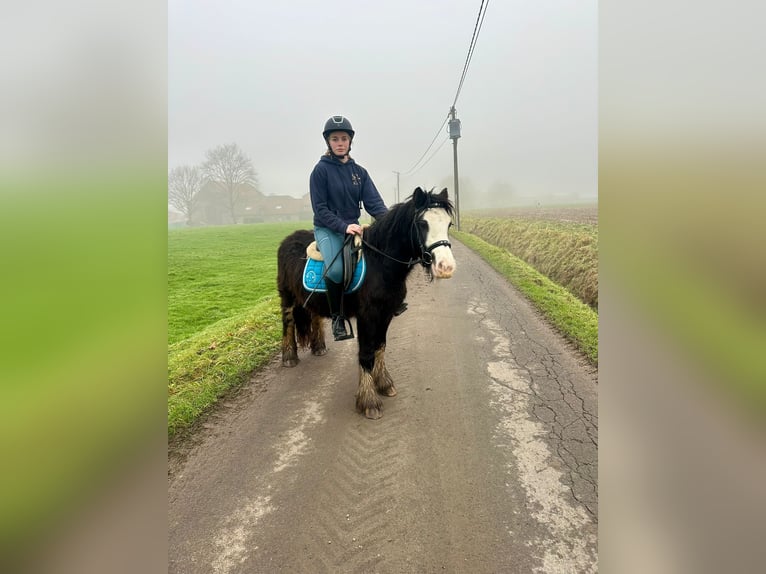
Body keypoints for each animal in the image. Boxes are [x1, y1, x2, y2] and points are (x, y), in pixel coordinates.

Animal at [278, 188, 456, 418]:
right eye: (422, 223)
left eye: (449, 224)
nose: (446, 267)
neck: (380, 264)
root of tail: (288, 239)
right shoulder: (367, 316)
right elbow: (366, 353)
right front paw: (369, 400)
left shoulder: (385, 314)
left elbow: (380, 346)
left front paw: (384, 383)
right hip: (287, 297)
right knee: (288, 323)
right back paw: (289, 357)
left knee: (315, 316)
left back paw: (319, 347)